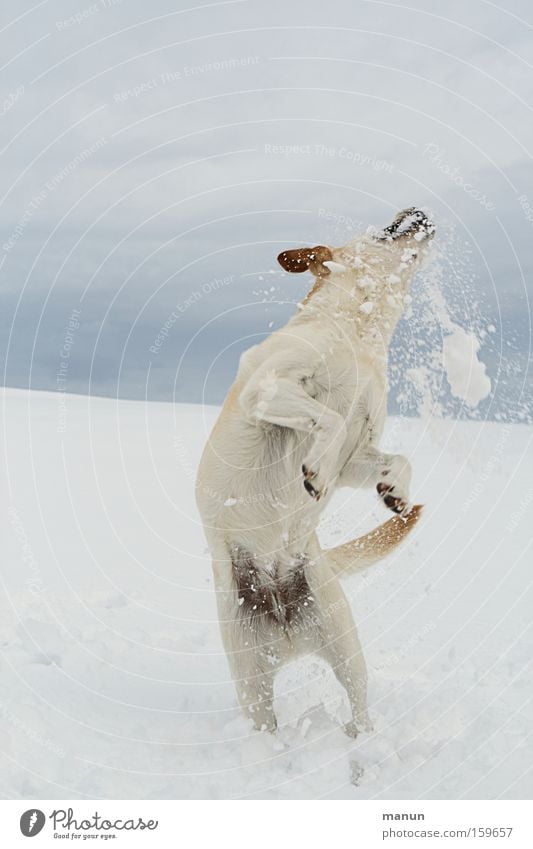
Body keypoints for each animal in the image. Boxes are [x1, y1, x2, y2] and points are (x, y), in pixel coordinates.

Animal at [195, 207, 432, 736]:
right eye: (383, 228)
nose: (419, 211)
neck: (359, 333)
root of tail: (286, 629)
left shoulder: (358, 453)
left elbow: (396, 459)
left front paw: (394, 491)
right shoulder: (268, 389)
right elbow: (328, 417)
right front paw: (314, 472)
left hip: (344, 647)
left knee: (359, 710)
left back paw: (361, 748)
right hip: (250, 677)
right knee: (267, 729)